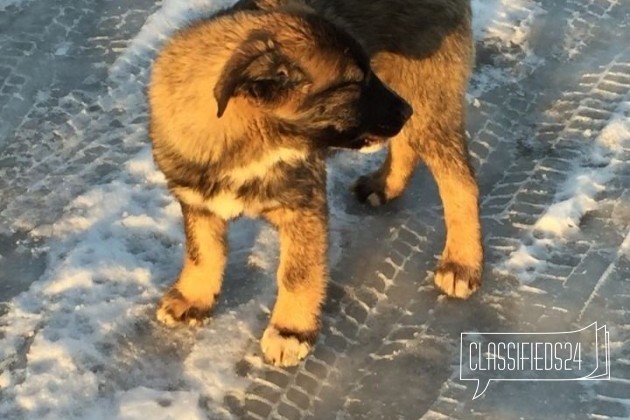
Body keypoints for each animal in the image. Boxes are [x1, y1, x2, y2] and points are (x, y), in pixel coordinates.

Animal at [149, 3, 414, 366]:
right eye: (354, 84)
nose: (407, 110)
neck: (250, 145)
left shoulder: (303, 205)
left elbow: (297, 272)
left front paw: (291, 331)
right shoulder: (197, 201)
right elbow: (203, 251)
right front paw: (193, 297)